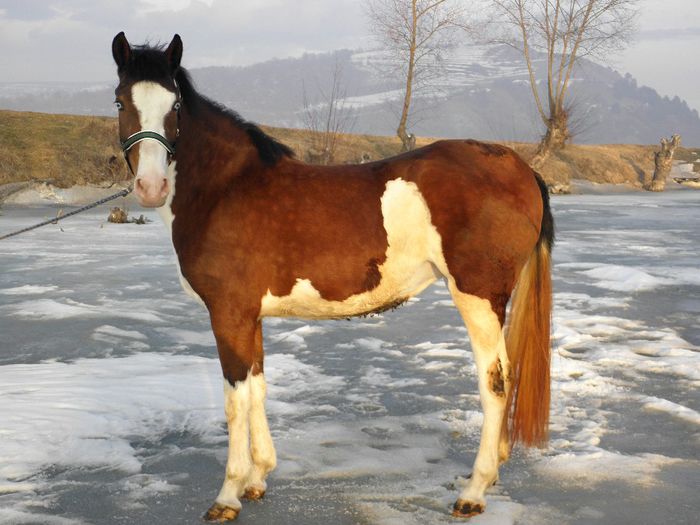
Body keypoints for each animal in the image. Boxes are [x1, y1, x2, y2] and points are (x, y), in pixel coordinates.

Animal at [111, 32, 554, 522]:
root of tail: (519, 167)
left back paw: (474, 490)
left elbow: (235, 400)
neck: (226, 189)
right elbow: (258, 388)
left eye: (173, 105)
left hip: (478, 298)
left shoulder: (228, 315)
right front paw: (258, 478)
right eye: (120, 101)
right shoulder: (251, 317)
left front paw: (228, 494)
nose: (151, 187)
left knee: (495, 383)